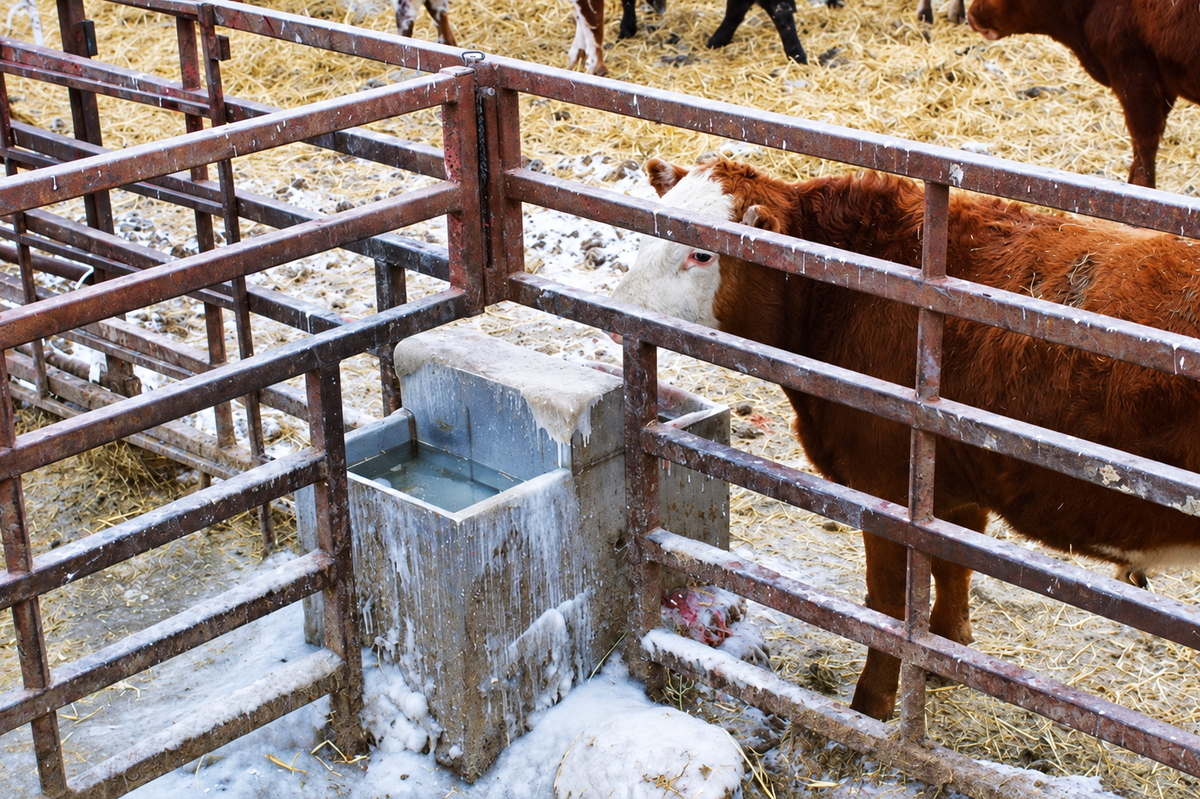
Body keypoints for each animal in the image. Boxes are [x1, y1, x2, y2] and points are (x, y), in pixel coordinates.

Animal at [611, 156, 1200, 720]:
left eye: (702, 255)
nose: (619, 312)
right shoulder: (952, 481)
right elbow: (954, 567)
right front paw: (948, 650)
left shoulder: (889, 485)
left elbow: (890, 604)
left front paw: (870, 706)